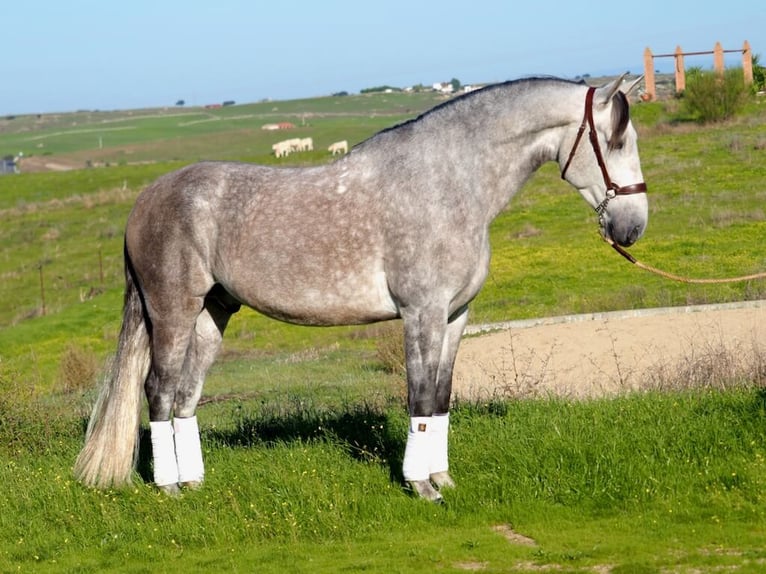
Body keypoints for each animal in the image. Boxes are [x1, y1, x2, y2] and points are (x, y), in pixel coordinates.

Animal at [73, 74, 648, 502]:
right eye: (616, 141)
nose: (632, 227)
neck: (448, 183)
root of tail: (146, 199)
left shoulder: (455, 316)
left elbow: (441, 396)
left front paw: (443, 478)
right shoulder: (422, 313)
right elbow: (419, 396)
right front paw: (422, 487)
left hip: (213, 313)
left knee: (186, 395)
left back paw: (194, 483)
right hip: (172, 311)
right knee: (158, 391)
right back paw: (169, 489)